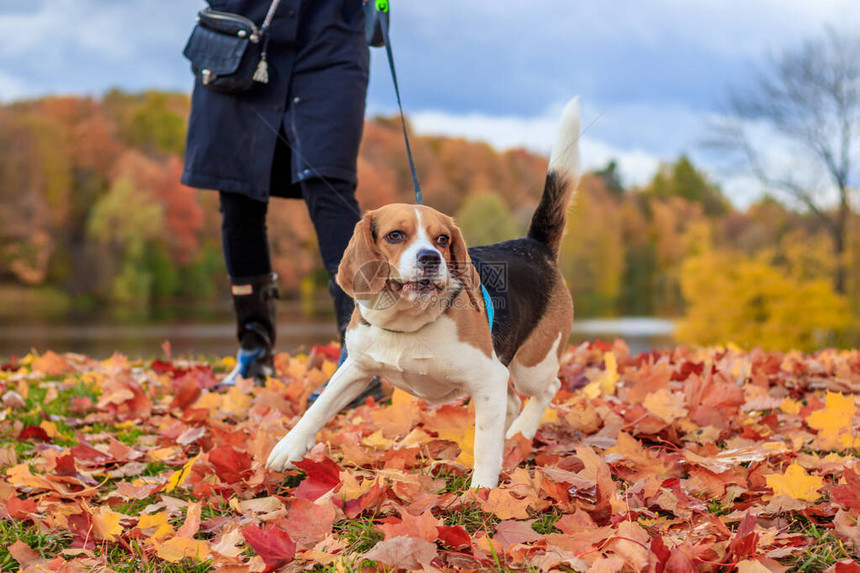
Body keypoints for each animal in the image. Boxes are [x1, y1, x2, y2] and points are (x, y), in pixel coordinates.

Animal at [266, 98, 580, 488]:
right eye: (395, 235)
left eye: (442, 239)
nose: (431, 258)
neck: (406, 322)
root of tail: (534, 245)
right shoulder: (356, 367)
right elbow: (319, 406)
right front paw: (288, 447)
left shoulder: (488, 375)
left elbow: (485, 445)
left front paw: (483, 489)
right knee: (510, 405)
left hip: (530, 365)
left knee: (546, 390)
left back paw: (520, 433)